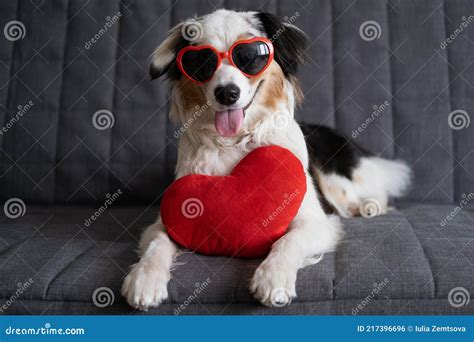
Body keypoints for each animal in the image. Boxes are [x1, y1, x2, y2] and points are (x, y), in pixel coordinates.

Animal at [121, 9, 412, 310]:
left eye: (250, 56)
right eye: (201, 61)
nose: (227, 93)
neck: (236, 142)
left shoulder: (316, 220)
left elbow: (289, 240)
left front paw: (273, 277)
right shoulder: (171, 213)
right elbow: (158, 242)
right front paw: (144, 278)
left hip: (333, 175)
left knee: (367, 194)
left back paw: (366, 206)